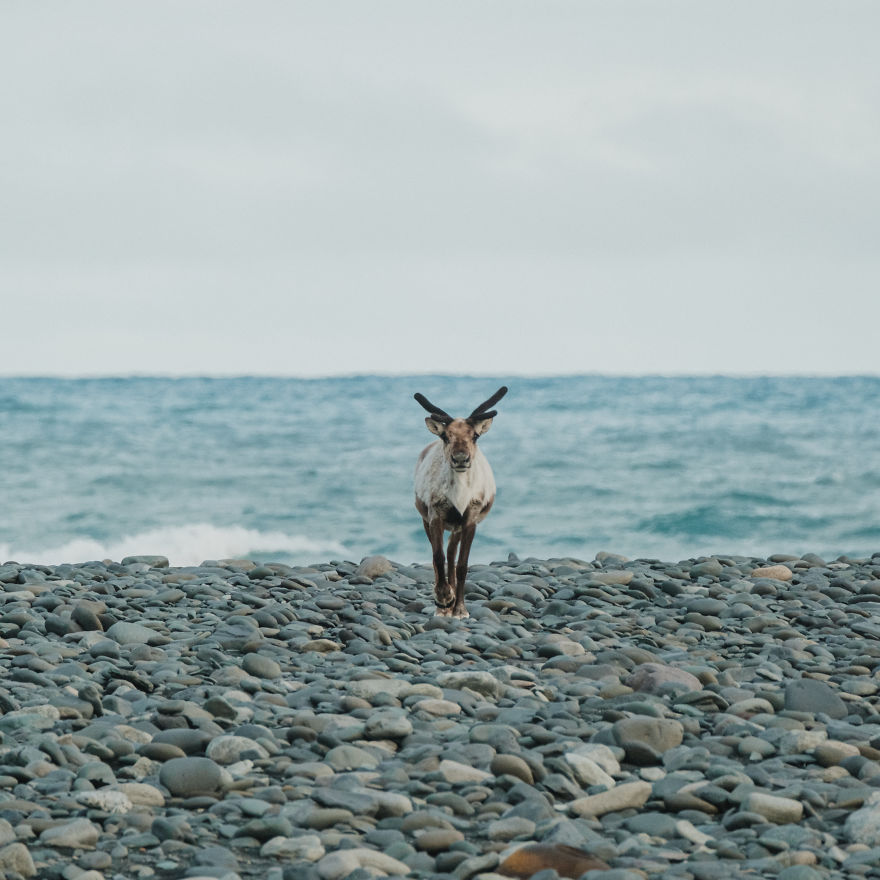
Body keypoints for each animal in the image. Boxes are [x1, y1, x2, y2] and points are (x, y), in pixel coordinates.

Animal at [413, 386, 508, 618]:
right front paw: (443, 599)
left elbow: (463, 564)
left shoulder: (470, 519)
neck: (459, 497)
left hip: (456, 527)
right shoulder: (434, 514)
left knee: (452, 554)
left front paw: (460, 609)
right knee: (441, 556)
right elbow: (437, 557)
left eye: (475, 436)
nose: (461, 459)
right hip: (425, 518)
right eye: (446, 436)